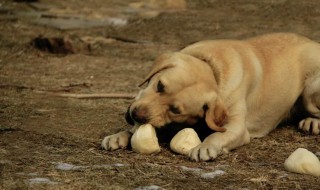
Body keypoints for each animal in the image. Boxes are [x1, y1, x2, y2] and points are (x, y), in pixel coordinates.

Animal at [102, 33, 320, 161]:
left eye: (175, 110)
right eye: (159, 85)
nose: (137, 114)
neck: (213, 69)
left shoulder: (237, 128)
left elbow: (217, 135)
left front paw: (205, 147)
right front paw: (119, 135)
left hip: (310, 91)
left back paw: (311, 122)